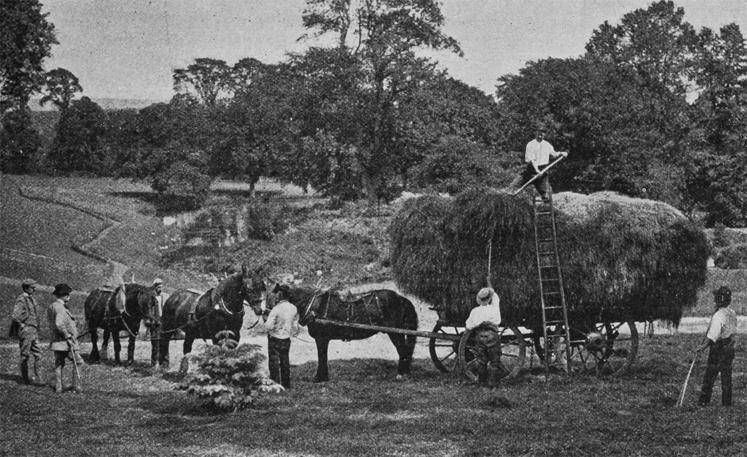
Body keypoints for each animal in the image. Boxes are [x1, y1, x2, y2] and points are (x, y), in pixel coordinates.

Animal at [270, 284, 420, 382]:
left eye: (275, 299)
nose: (267, 313)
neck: (314, 306)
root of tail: (401, 298)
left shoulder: (321, 338)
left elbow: (321, 356)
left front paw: (319, 377)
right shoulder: (323, 339)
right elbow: (323, 357)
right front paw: (324, 376)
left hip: (395, 333)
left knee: (403, 350)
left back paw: (401, 374)